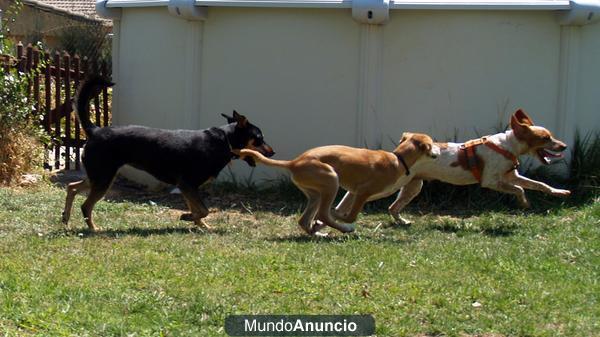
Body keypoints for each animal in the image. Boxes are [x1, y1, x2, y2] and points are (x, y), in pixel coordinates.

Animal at [62, 76, 274, 231]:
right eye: (260, 138)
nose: (273, 152)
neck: (225, 141)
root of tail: (95, 130)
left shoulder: (187, 187)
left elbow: (198, 209)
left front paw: (202, 225)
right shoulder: (187, 184)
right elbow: (203, 209)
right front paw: (188, 217)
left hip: (99, 176)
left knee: (72, 187)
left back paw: (65, 218)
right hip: (104, 177)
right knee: (85, 205)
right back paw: (93, 229)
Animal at [240, 133, 440, 235]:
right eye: (433, 143)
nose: (439, 151)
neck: (398, 159)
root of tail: (294, 162)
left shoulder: (353, 193)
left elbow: (337, 211)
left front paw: (320, 225)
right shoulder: (363, 192)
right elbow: (348, 215)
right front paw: (341, 220)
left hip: (317, 193)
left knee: (305, 220)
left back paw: (317, 232)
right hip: (331, 180)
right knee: (323, 213)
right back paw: (344, 229)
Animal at [382, 109, 568, 223]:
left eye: (551, 135)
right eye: (545, 138)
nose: (564, 146)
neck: (507, 146)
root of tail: (402, 147)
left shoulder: (511, 176)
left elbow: (540, 184)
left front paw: (559, 192)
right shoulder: (491, 181)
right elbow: (519, 189)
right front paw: (524, 202)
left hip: (413, 187)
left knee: (393, 208)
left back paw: (402, 222)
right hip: (398, 184)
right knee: (390, 204)